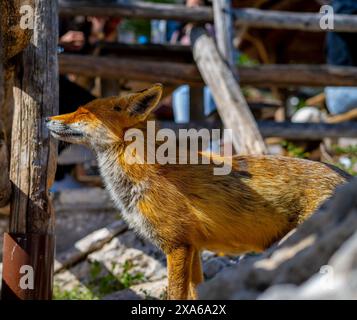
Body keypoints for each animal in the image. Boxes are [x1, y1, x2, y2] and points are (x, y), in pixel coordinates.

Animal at [46, 83, 350, 300]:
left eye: (82, 113)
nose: (47, 118)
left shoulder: (177, 245)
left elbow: (175, 295)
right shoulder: (194, 248)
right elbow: (195, 293)